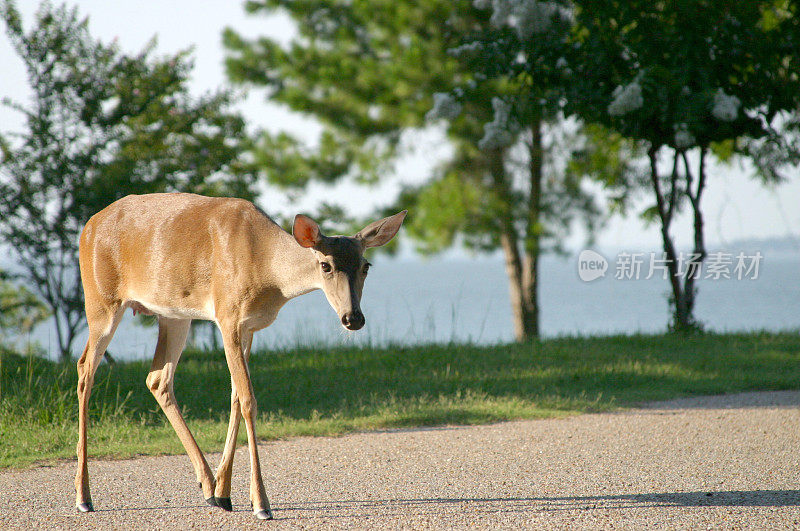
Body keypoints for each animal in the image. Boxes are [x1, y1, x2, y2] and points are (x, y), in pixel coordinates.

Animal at [73, 191, 406, 520]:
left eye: (366, 265)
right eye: (326, 265)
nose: (354, 319)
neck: (267, 270)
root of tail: (88, 227)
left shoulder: (250, 327)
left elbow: (234, 396)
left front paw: (224, 493)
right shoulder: (227, 316)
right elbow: (248, 400)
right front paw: (261, 503)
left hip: (174, 314)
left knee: (157, 379)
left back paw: (207, 485)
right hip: (101, 300)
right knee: (85, 369)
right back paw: (84, 497)